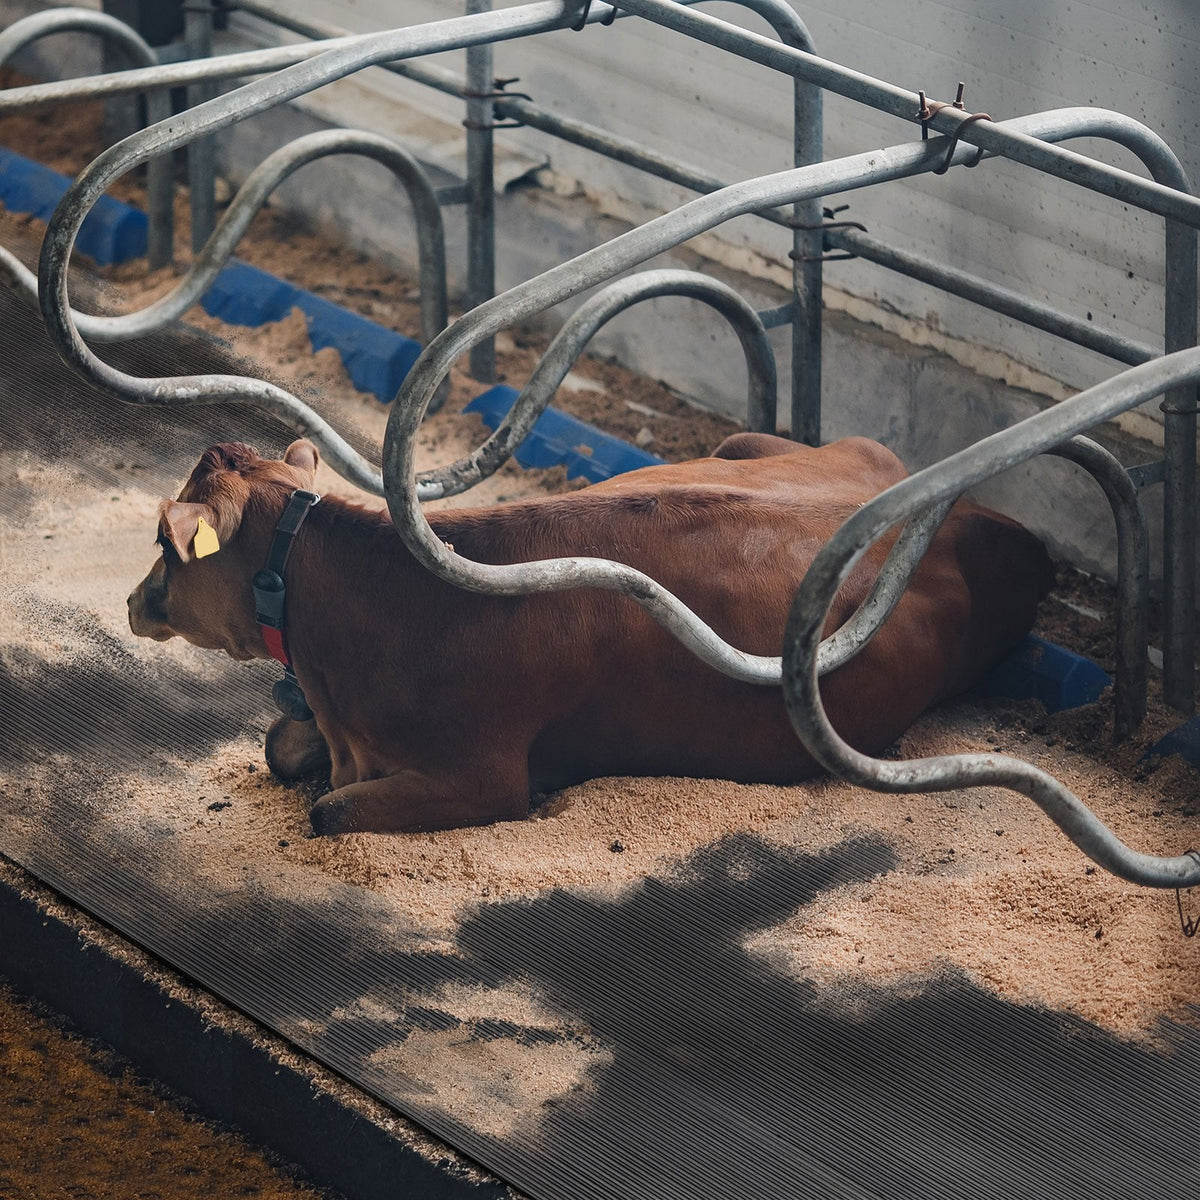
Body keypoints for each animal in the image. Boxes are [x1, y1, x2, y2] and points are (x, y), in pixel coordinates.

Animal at [126, 432, 1056, 835]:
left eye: (165, 544)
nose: (136, 600)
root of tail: (974, 513)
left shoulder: (483, 775)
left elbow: (326, 810)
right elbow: (282, 746)